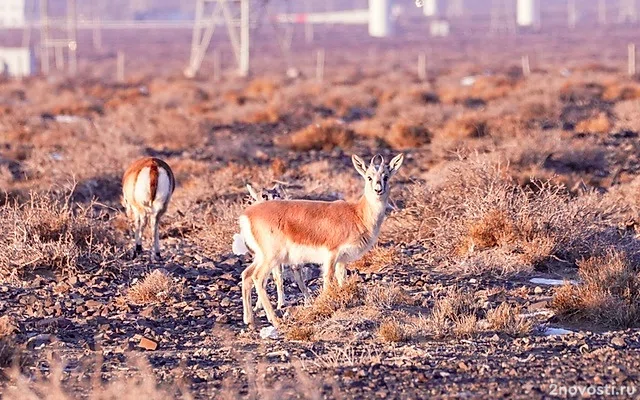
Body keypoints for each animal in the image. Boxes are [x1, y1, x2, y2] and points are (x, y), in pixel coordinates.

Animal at [238, 152, 402, 326]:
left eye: (386, 176)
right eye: (369, 177)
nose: (378, 189)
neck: (357, 214)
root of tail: (247, 215)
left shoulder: (342, 260)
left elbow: (342, 280)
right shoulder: (331, 255)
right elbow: (328, 280)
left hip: (261, 257)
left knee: (246, 275)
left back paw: (249, 320)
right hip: (271, 258)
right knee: (257, 277)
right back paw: (275, 320)